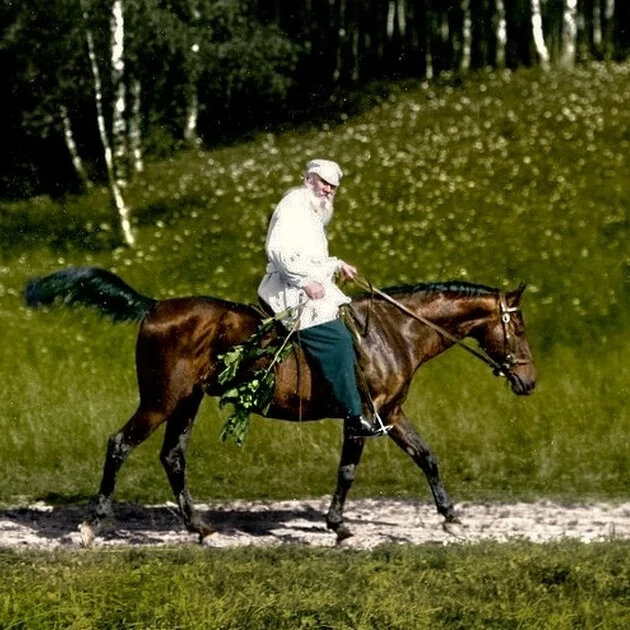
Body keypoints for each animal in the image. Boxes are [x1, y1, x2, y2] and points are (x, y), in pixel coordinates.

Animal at [25, 266, 540, 544]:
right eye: (519, 327)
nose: (529, 381)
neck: (394, 333)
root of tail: (155, 307)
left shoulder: (392, 415)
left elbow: (427, 458)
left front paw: (451, 517)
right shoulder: (362, 418)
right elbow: (347, 472)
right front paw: (338, 525)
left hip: (186, 403)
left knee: (172, 457)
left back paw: (200, 527)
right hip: (161, 400)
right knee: (120, 444)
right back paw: (92, 524)